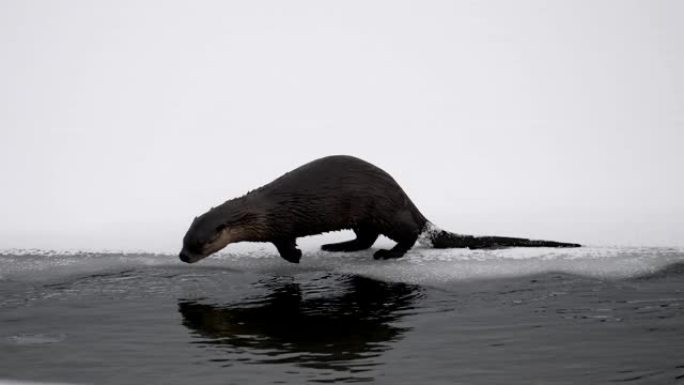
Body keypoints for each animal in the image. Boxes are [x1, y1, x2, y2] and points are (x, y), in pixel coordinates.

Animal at [179, 154, 580, 262]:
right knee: (365, 237)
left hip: (384, 209)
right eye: (183, 240)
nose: (183, 257)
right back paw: (338, 246)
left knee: (409, 233)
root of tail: (404, 195)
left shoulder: (282, 226)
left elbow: (284, 244)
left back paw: (390, 254)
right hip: (365, 215)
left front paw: (295, 258)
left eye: (199, 244)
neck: (261, 212)